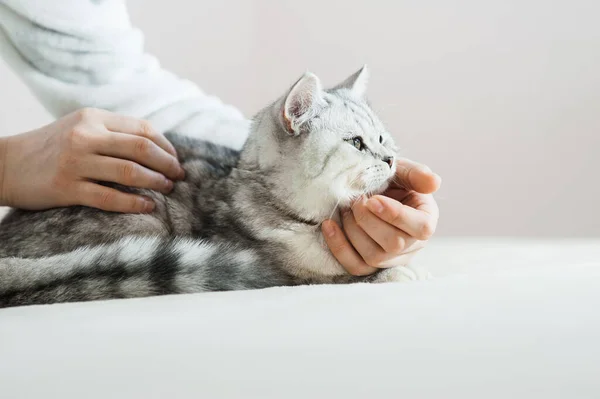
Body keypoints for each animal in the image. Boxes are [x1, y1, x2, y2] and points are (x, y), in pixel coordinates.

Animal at [0, 66, 426, 310]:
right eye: (356, 143)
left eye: (383, 138)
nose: (390, 159)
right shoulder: (281, 270)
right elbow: (339, 278)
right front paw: (392, 274)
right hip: (141, 220)